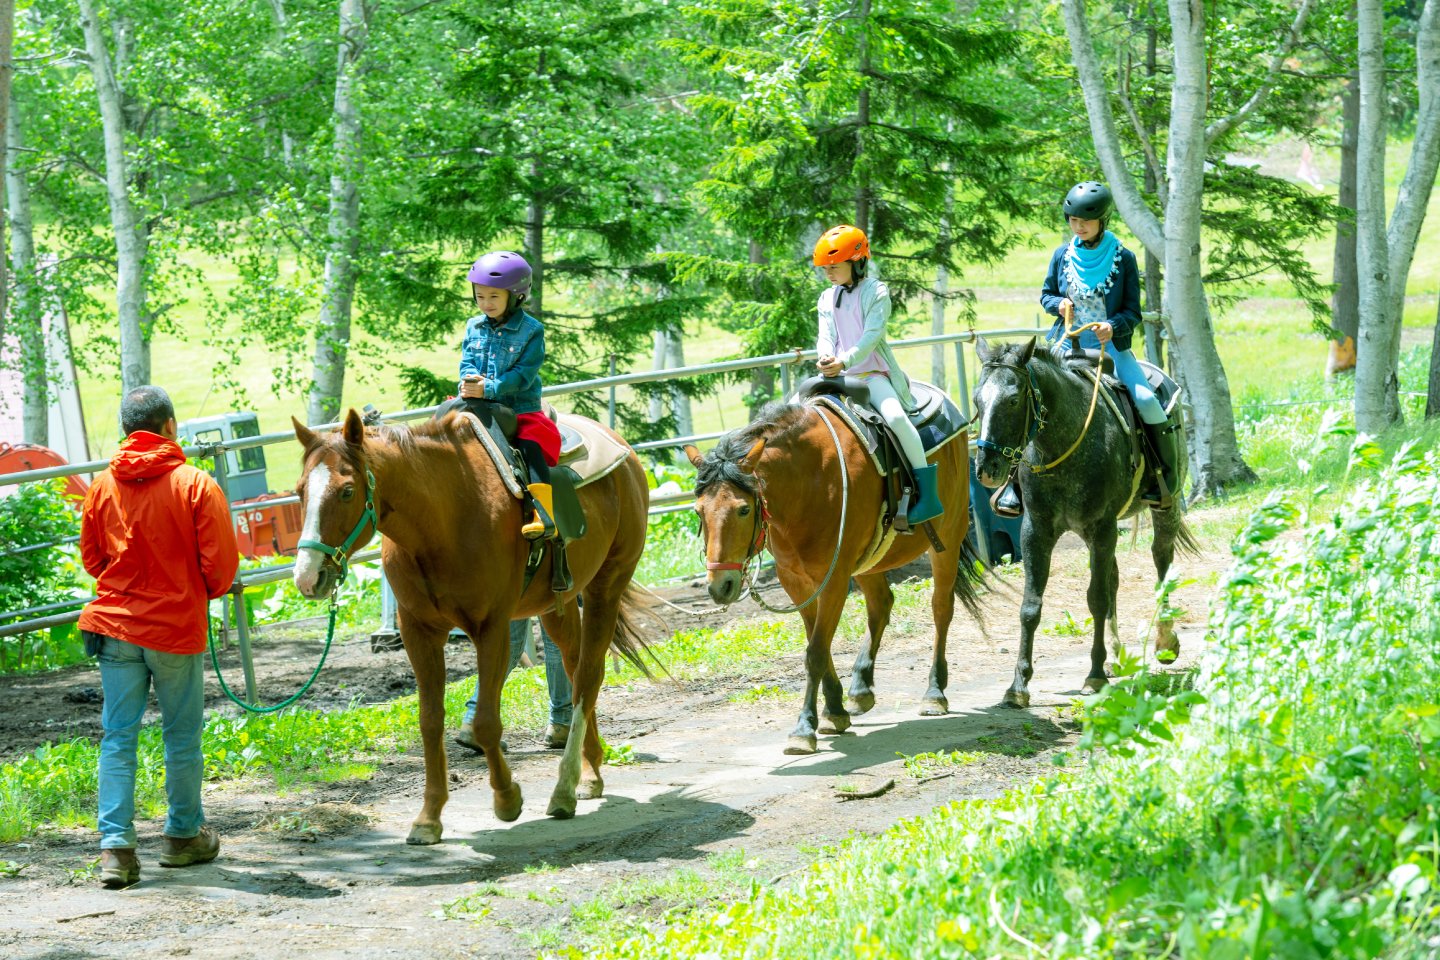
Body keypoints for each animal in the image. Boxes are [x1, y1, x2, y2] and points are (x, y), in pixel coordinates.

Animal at [292, 408, 653, 846]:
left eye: (346, 491)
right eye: (299, 492)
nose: (307, 577)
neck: (442, 518)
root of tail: (622, 450)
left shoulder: (491, 628)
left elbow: (484, 722)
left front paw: (506, 798)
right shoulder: (418, 632)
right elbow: (430, 721)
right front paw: (428, 818)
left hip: (607, 586)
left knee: (588, 676)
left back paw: (565, 787)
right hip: (558, 604)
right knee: (573, 665)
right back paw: (589, 771)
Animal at [688, 400, 984, 759]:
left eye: (743, 509)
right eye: (699, 511)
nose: (721, 586)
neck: (807, 482)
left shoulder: (835, 579)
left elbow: (816, 651)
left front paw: (804, 728)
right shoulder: (795, 581)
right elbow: (818, 643)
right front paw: (834, 710)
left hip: (948, 540)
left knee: (941, 608)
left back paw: (934, 692)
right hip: (870, 563)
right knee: (881, 606)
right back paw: (861, 688)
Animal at [967, 338, 1203, 705]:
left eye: (1013, 399)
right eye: (978, 399)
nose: (987, 469)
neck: (1064, 442)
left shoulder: (1102, 527)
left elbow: (1097, 598)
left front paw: (1093, 675)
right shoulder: (1036, 531)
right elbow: (1030, 606)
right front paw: (1018, 686)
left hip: (1164, 509)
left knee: (1161, 561)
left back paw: (1164, 641)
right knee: (1115, 578)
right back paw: (1116, 655)